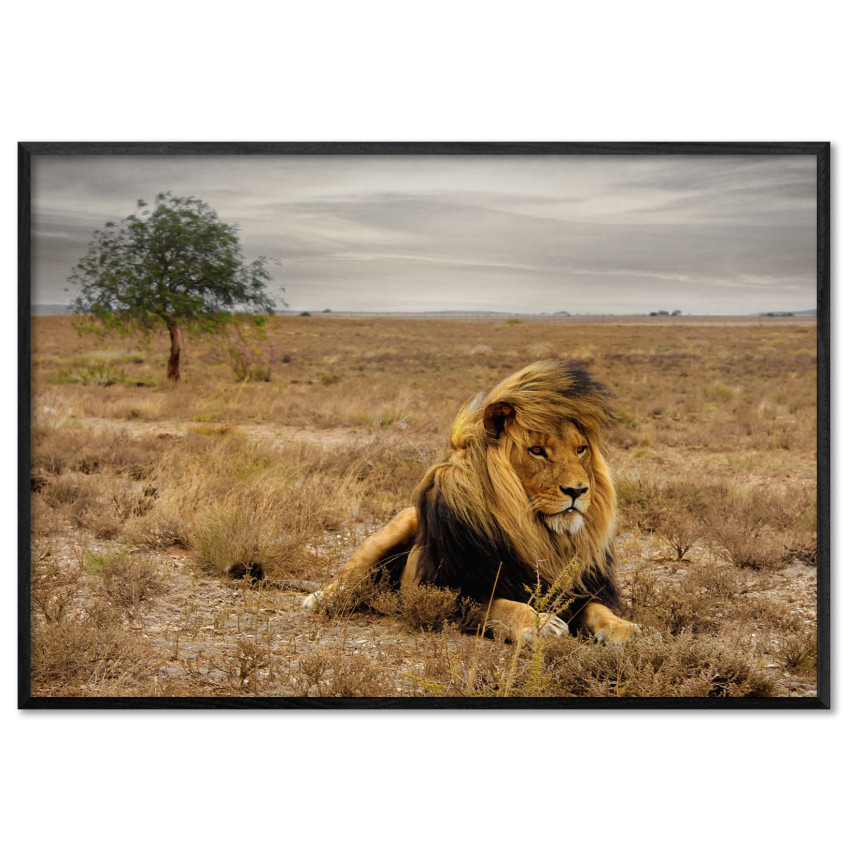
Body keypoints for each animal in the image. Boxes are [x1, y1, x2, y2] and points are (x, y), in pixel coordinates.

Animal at [303, 360, 638, 646]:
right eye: (537, 450)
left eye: (581, 449)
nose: (577, 491)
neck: (541, 537)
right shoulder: (450, 593)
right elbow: (504, 606)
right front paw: (541, 624)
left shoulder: (581, 589)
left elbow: (598, 609)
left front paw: (623, 627)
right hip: (393, 529)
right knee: (349, 576)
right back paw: (321, 598)